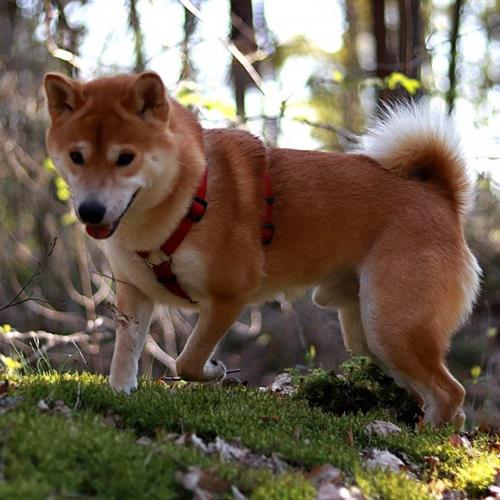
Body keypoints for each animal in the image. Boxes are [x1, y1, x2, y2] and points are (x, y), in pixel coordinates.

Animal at [45, 72, 478, 428]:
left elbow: (188, 361)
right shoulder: (134, 294)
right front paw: (120, 394)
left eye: (125, 158)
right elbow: (125, 355)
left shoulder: (229, 296)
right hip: (370, 335)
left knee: (450, 392)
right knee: (442, 397)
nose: (89, 211)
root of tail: (441, 197)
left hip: (392, 326)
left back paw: (427, 439)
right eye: (76, 156)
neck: (188, 197)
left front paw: (214, 370)